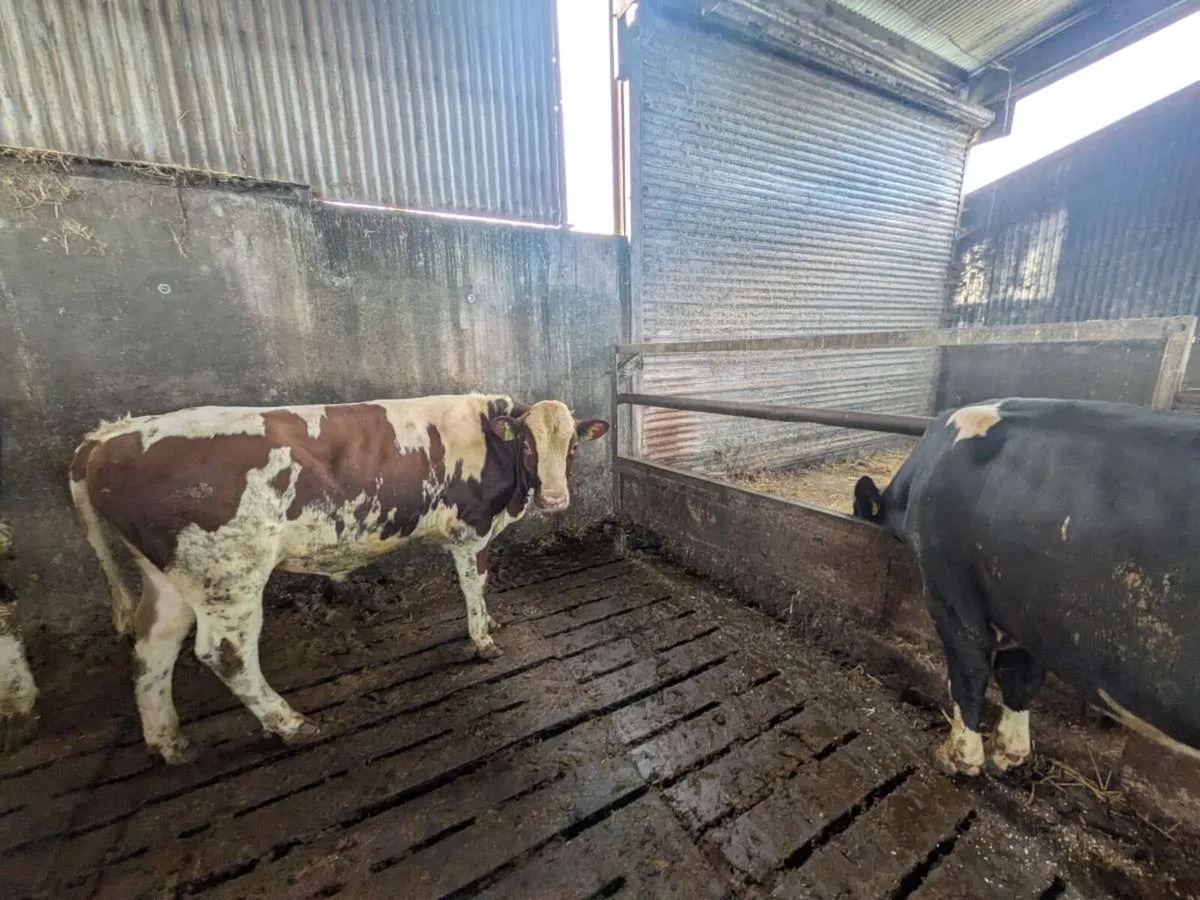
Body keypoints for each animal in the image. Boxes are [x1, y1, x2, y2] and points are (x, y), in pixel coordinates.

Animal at [70, 394, 609, 764]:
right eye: (528, 444)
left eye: (573, 446)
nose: (555, 499)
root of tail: (110, 435)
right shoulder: (470, 530)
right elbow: (475, 586)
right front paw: (483, 639)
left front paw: (490, 625)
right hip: (229, 575)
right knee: (224, 653)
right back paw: (289, 722)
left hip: (169, 580)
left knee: (151, 649)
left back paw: (170, 742)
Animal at [853, 398, 1200, 777]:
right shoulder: (1025, 613)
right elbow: (1021, 678)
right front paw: (1009, 752)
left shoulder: (951, 591)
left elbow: (969, 673)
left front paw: (957, 757)